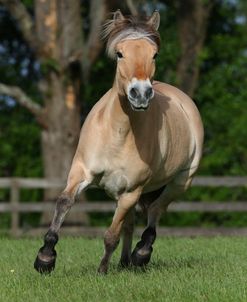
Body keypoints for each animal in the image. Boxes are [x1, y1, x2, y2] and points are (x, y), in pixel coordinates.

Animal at [35, 10, 205, 274]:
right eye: (119, 53)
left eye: (154, 54)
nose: (141, 93)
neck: (118, 133)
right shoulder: (81, 172)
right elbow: (64, 202)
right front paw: (45, 257)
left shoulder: (130, 192)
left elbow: (111, 235)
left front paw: (102, 271)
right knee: (132, 222)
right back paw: (126, 262)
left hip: (179, 182)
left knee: (154, 211)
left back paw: (140, 254)